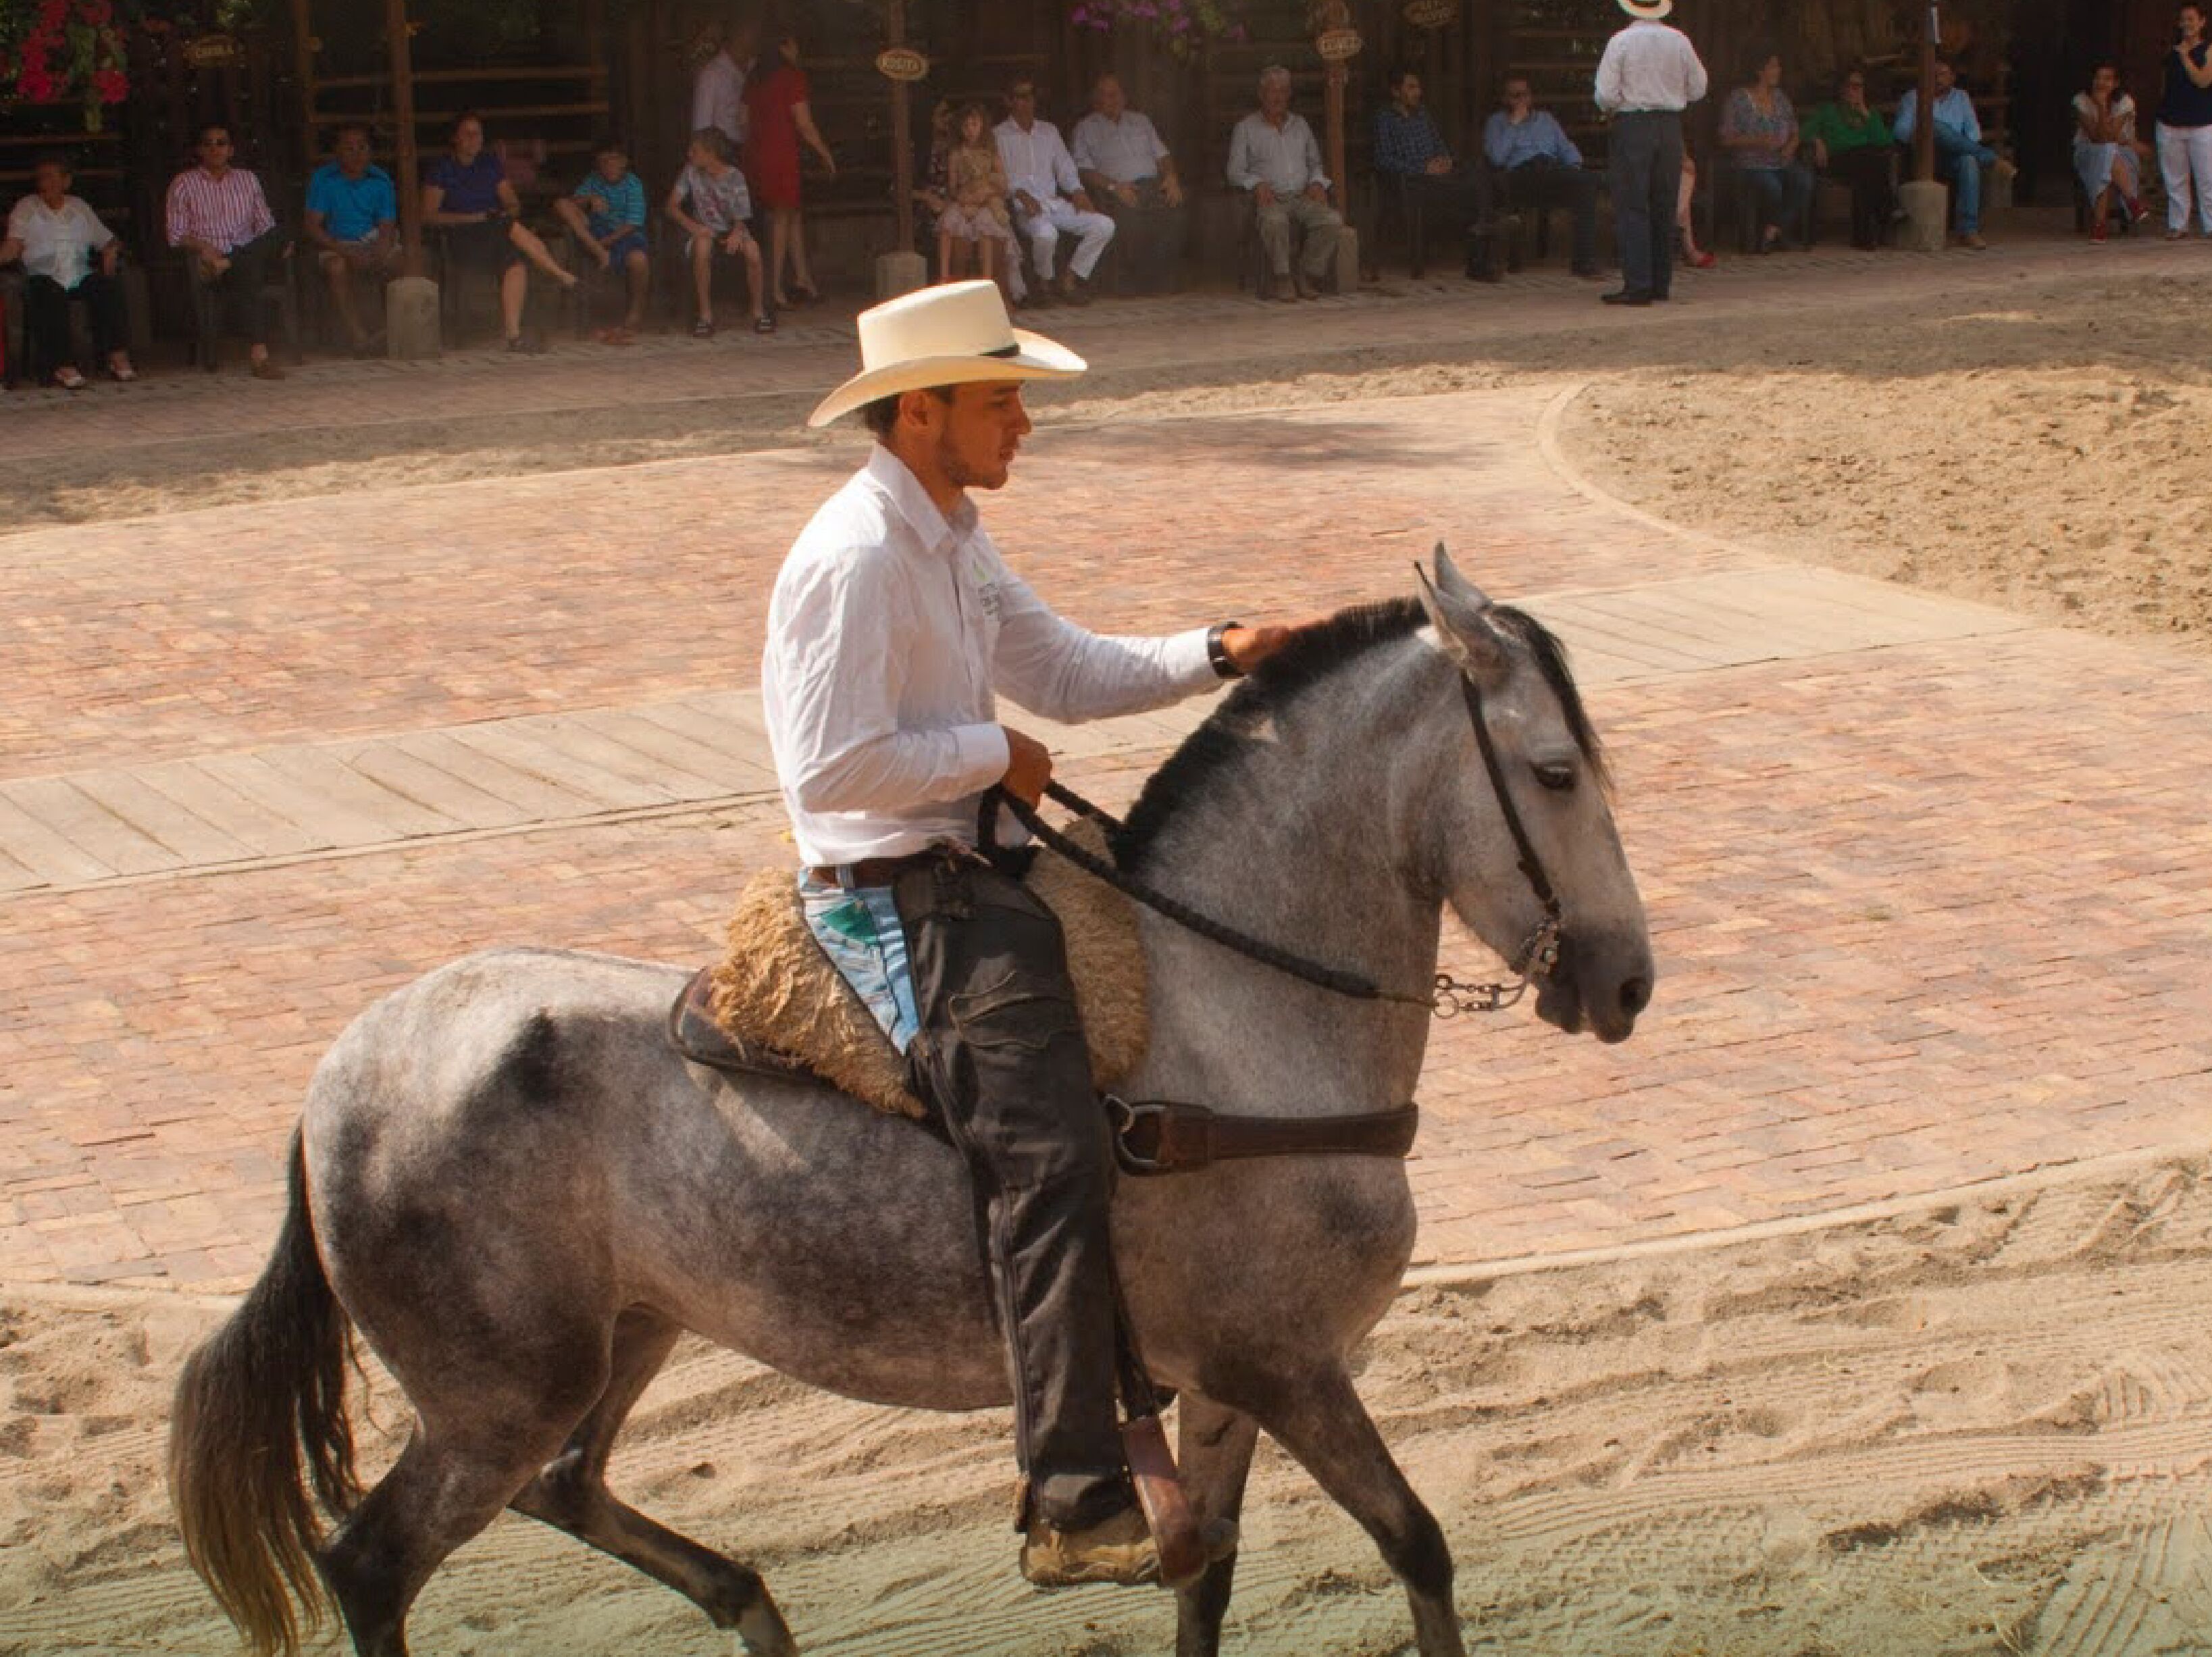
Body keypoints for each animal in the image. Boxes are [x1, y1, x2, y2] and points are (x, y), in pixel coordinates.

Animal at [169, 551, 1655, 1657]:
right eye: (1555, 771)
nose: (1627, 976)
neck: (1236, 1011)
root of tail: (343, 1070)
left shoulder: (1229, 1382)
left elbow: (1210, 1577)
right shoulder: (1288, 1364)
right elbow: (1417, 1543)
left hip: (621, 1333)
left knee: (570, 1484)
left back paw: (751, 1604)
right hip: (494, 1395)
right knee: (374, 1562)